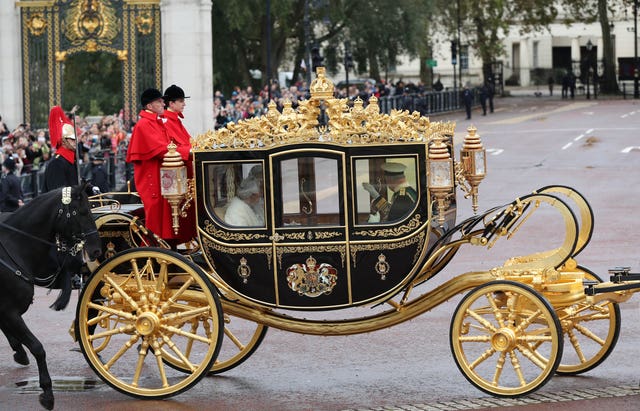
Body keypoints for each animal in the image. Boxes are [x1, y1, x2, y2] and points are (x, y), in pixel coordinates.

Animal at [0, 185, 100, 410]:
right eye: (83, 212)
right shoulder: (9, 311)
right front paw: (47, 392)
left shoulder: (7, 312)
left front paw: (20, 352)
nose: (96, 249)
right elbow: (38, 347)